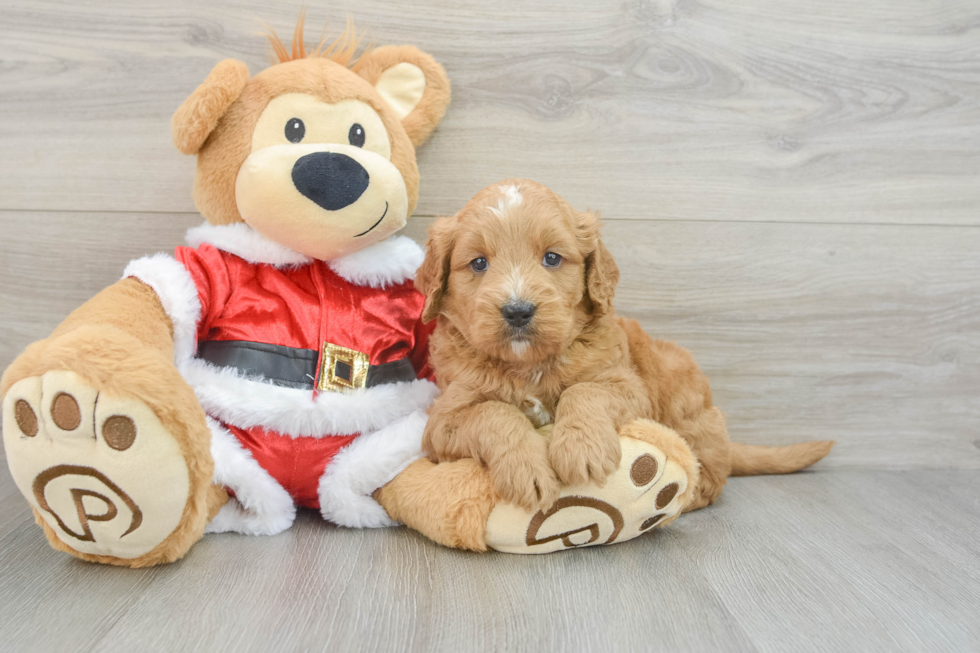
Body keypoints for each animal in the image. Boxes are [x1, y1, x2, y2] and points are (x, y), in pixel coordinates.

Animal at [416, 177, 836, 510]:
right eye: (478, 263)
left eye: (552, 258)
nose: (518, 311)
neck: (530, 364)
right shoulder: (443, 419)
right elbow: (495, 413)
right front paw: (526, 469)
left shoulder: (629, 387)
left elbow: (584, 390)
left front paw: (581, 449)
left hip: (685, 403)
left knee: (712, 472)